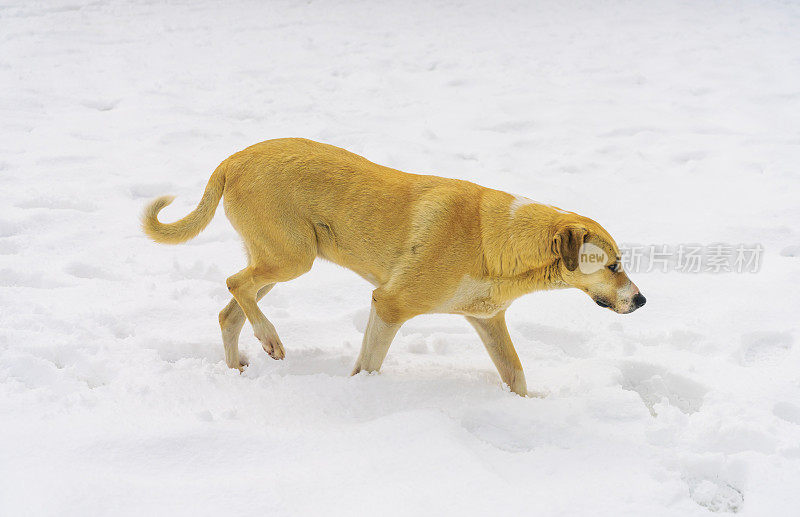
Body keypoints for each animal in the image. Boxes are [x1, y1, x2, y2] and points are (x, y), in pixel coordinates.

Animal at [144, 137, 644, 396]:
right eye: (615, 265)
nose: (641, 300)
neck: (496, 241)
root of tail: (231, 159)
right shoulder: (389, 305)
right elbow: (369, 363)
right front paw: (362, 400)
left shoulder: (487, 320)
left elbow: (515, 373)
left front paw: (526, 407)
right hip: (292, 258)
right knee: (234, 283)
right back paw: (270, 339)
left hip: (277, 259)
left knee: (230, 308)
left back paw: (238, 370)